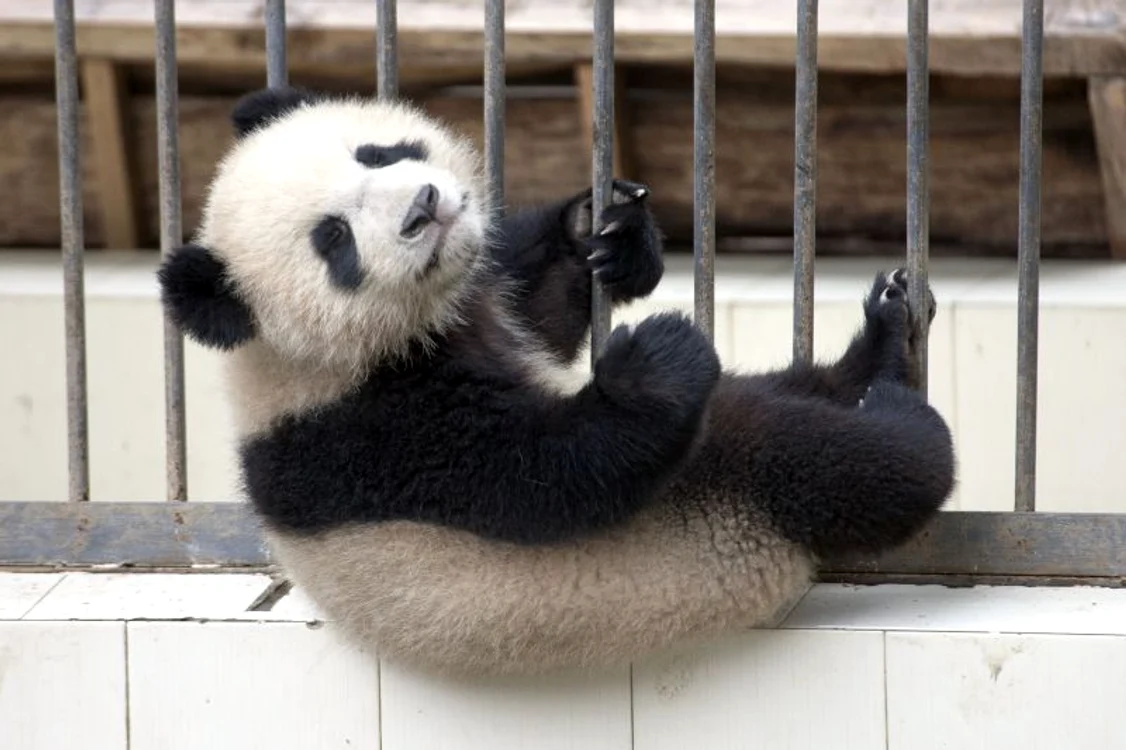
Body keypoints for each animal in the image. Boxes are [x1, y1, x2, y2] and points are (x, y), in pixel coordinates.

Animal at [157, 86, 956, 678]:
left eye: (380, 152)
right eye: (333, 240)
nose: (423, 206)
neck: (295, 353)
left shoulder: (480, 308)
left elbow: (537, 306)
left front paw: (608, 230)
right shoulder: (369, 430)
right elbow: (547, 474)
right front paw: (655, 359)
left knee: (802, 389)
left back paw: (885, 338)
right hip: (725, 498)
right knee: (807, 454)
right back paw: (902, 418)